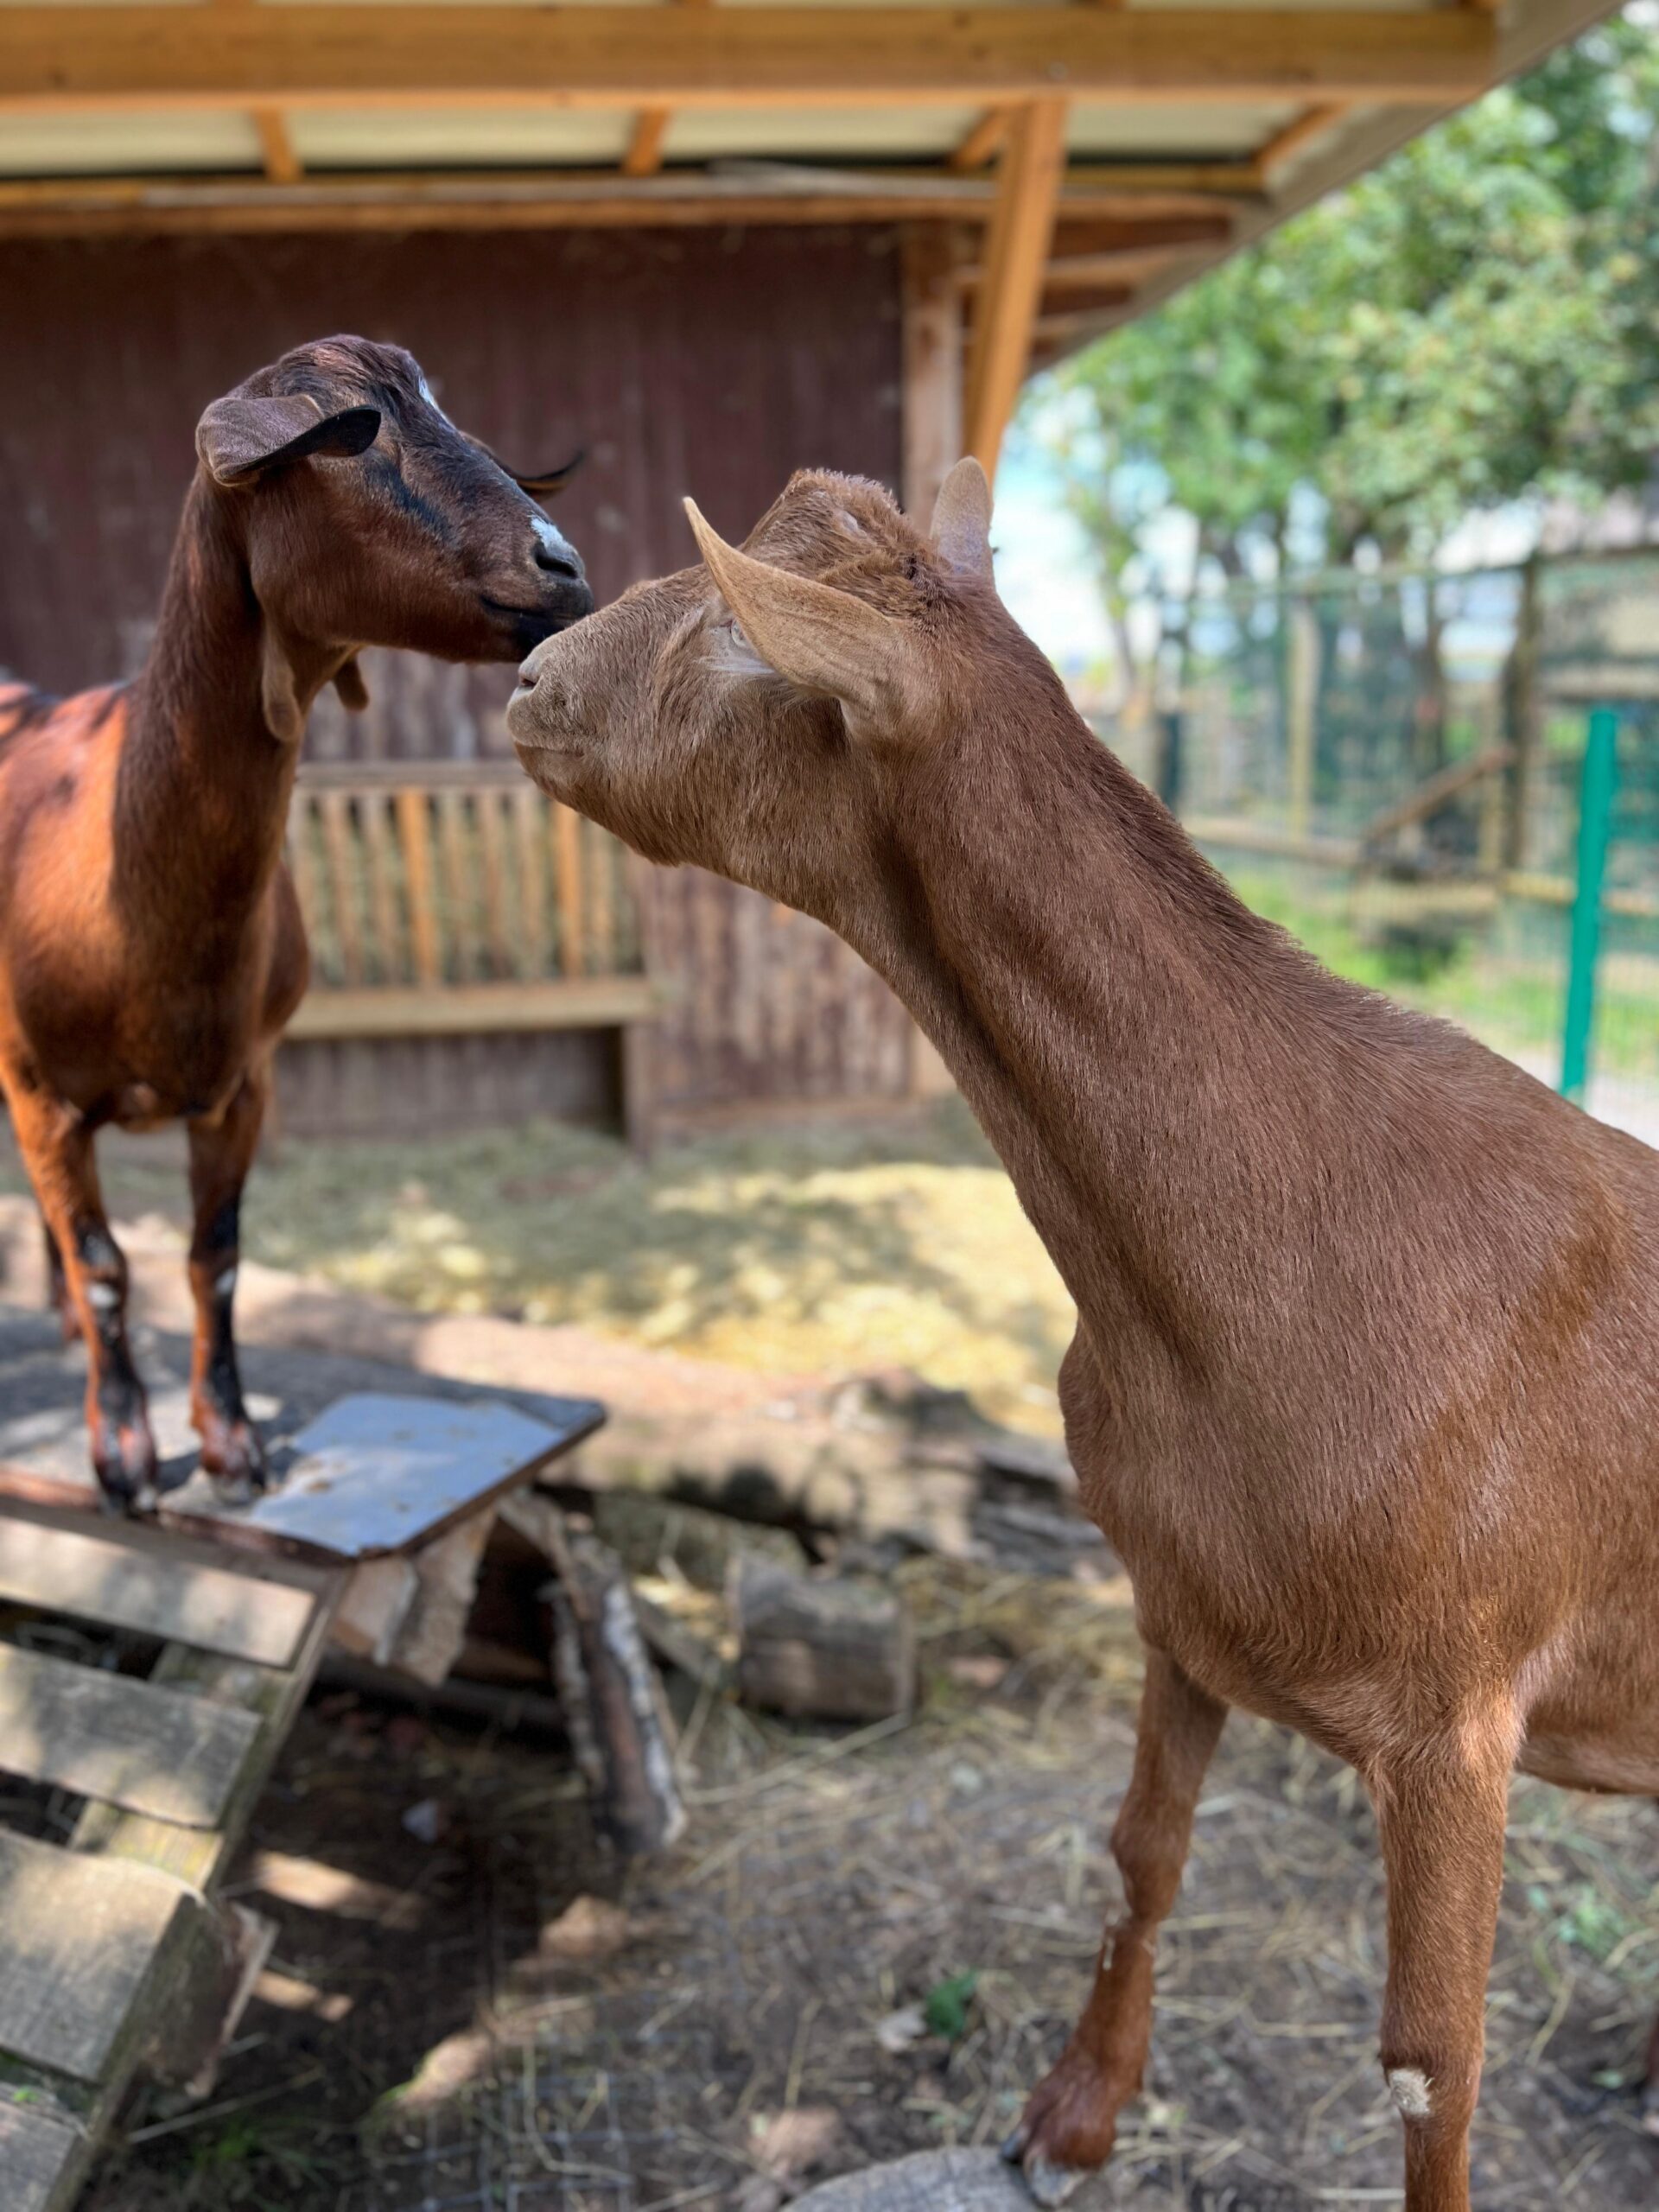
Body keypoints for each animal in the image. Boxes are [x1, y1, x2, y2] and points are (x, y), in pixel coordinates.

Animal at [0, 335, 592, 1511]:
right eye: (347, 435)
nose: (563, 564)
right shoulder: (40, 1087)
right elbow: (109, 1264)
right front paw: (123, 1454)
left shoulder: (244, 1083)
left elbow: (213, 1257)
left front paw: (230, 1446)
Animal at [506, 457, 1659, 2212]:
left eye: (738, 636)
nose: (526, 682)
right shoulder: (1180, 1610)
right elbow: (1142, 1854)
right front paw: (1073, 2114)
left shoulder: (1461, 1722)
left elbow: (1434, 2066)